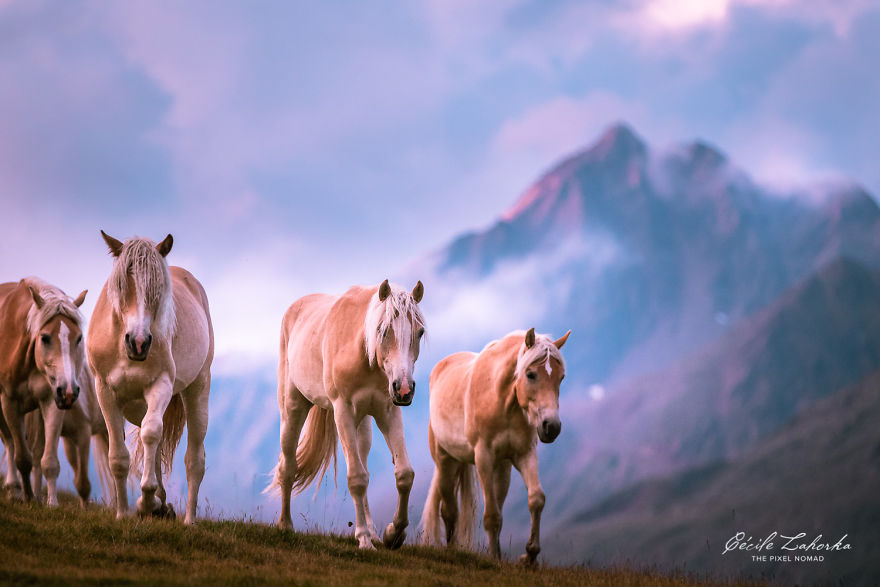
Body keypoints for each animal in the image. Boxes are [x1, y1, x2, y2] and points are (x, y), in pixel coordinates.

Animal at [0, 277, 88, 502]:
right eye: (45, 338)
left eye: (79, 338)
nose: (69, 390)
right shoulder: (9, 402)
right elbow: (22, 458)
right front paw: (27, 497)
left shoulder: (52, 400)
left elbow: (49, 462)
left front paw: (51, 503)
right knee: (9, 443)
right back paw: (14, 489)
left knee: (37, 450)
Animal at [87, 231, 213, 524]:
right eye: (121, 285)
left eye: (157, 290)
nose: (139, 342)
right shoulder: (105, 392)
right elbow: (118, 456)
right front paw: (123, 512)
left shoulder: (160, 386)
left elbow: (152, 433)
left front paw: (146, 503)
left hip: (198, 389)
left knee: (193, 459)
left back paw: (188, 519)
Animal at [266, 279, 426, 550]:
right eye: (382, 329)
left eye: (420, 332)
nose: (404, 388)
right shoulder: (343, 412)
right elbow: (357, 478)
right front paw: (363, 539)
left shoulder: (389, 412)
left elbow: (404, 474)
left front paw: (393, 534)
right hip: (292, 409)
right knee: (288, 465)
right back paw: (285, 524)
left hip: (363, 426)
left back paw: (374, 532)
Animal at [421, 327, 570, 564]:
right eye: (531, 374)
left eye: (561, 377)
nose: (552, 427)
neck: (502, 400)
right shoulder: (484, 457)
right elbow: (491, 515)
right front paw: (494, 559)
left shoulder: (524, 454)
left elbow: (536, 499)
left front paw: (530, 555)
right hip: (446, 462)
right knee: (449, 511)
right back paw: (452, 551)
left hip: (501, 468)